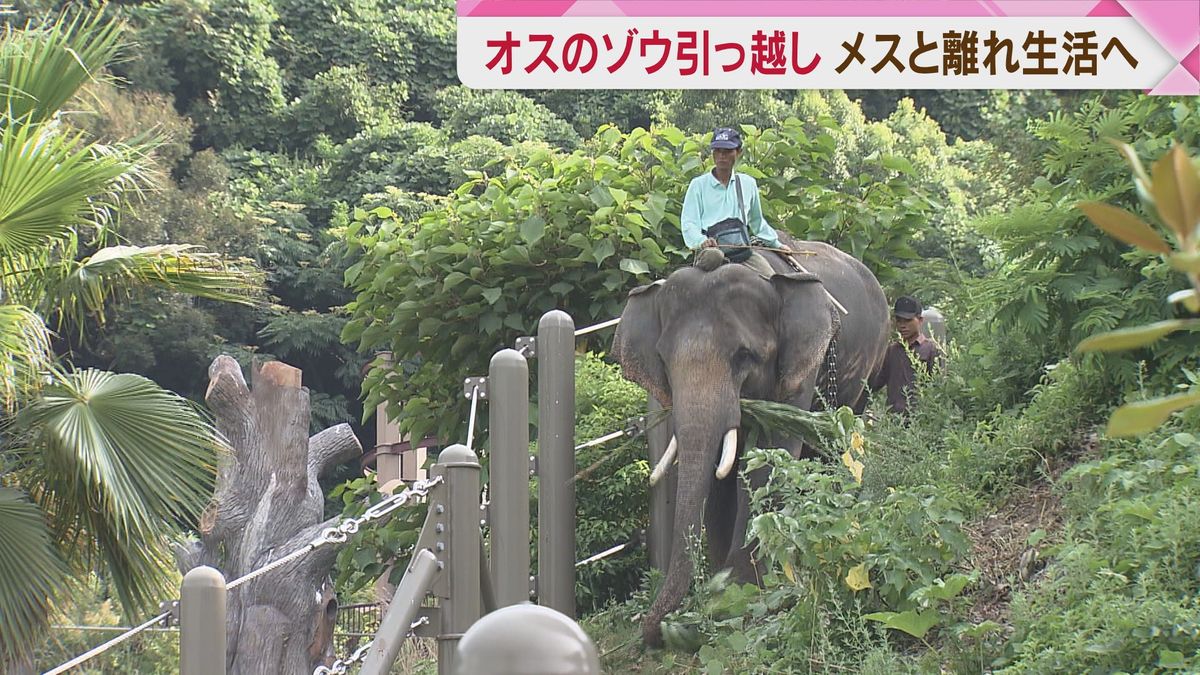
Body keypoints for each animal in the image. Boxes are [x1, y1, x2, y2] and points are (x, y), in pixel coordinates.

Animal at [609, 234, 892, 643]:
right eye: (663, 359)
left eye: (744, 356)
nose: (657, 632)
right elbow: (719, 471)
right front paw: (721, 582)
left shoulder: (798, 368)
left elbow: (769, 455)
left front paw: (739, 590)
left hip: (870, 365)